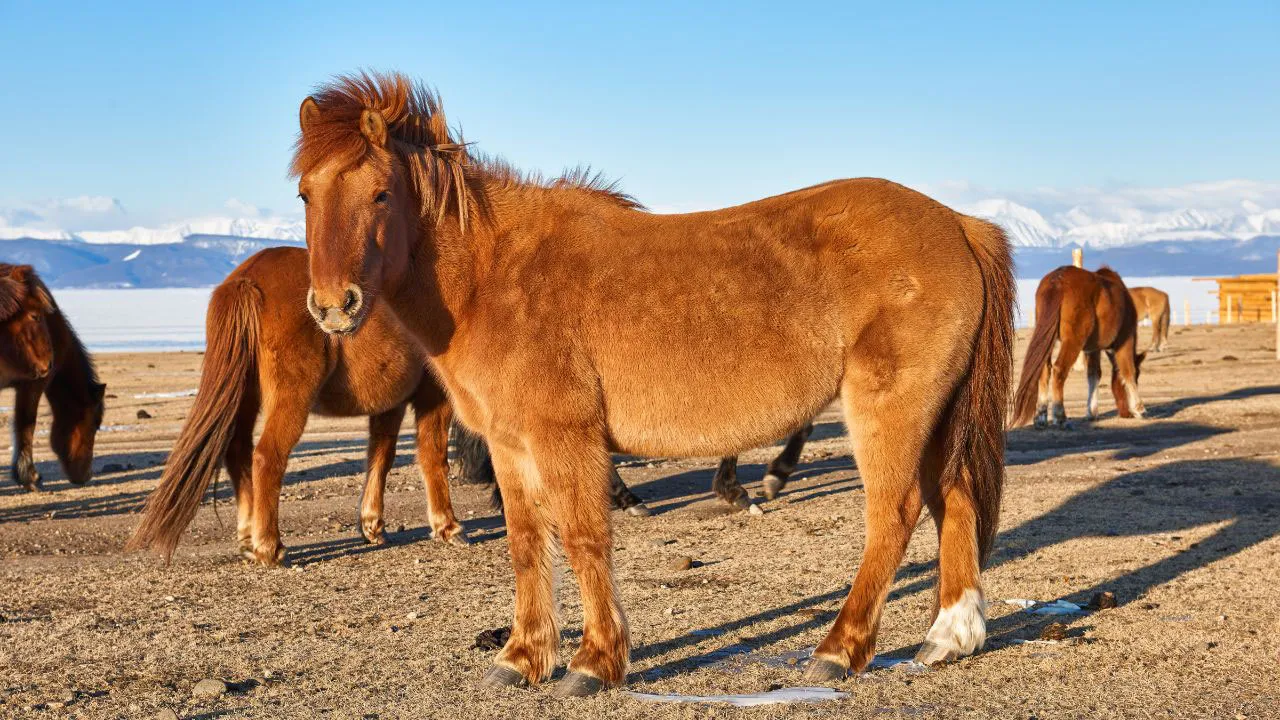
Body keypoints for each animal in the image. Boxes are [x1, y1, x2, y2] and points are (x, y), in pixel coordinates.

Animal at [292, 73, 1014, 695]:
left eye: (381, 194)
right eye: (306, 194)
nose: (333, 306)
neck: (493, 275)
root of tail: (959, 224)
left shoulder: (565, 439)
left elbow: (584, 537)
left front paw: (593, 662)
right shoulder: (509, 445)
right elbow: (526, 543)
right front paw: (522, 658)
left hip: (890, 411)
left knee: (894, 514)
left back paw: (839, 649)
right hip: (937, 415)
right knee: (954, 498)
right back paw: (950, 637)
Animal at [1012, 266, 1146, 428]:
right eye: (1139, 374)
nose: (1126, 414)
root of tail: (1058, 280)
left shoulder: (1093, 349)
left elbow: (1094, 375)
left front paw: (1092, 412)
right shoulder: (1125, 340)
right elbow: (1127, 371)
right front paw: (1139, 408)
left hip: (1048, 337)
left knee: (1045, 371)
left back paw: (1041, 417)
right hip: (1073, 341)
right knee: (1059, 370)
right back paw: (1059, 416)